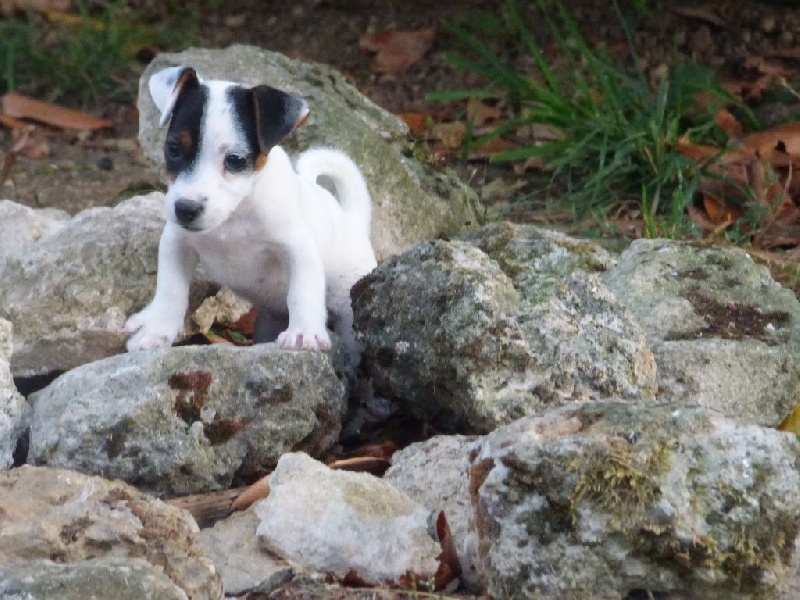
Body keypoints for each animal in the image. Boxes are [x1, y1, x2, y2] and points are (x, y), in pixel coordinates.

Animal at [125, 65, 378, 352]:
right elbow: (170, 288)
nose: (185, 209)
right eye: (174, 148)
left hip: (348, 307)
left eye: (235, 160)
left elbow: (303, 291)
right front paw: (157, 329)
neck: (234, 217)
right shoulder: (177, 242)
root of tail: (354, 221)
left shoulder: (298, 249)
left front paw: (304, 333)